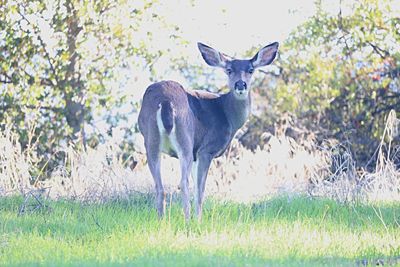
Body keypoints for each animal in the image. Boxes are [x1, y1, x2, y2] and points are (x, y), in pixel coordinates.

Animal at [139, 42, 280, 222]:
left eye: (250, 70)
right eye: (229, 70)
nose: (240, 85)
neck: (227, 115)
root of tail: (165, 101)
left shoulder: (195, 155)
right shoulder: (206, 150)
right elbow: (200, 190)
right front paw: (198, 220)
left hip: (150, 140)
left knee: (159, 186)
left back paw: (162, 221)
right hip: (185, 137)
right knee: (183, 182)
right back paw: (186, 221)